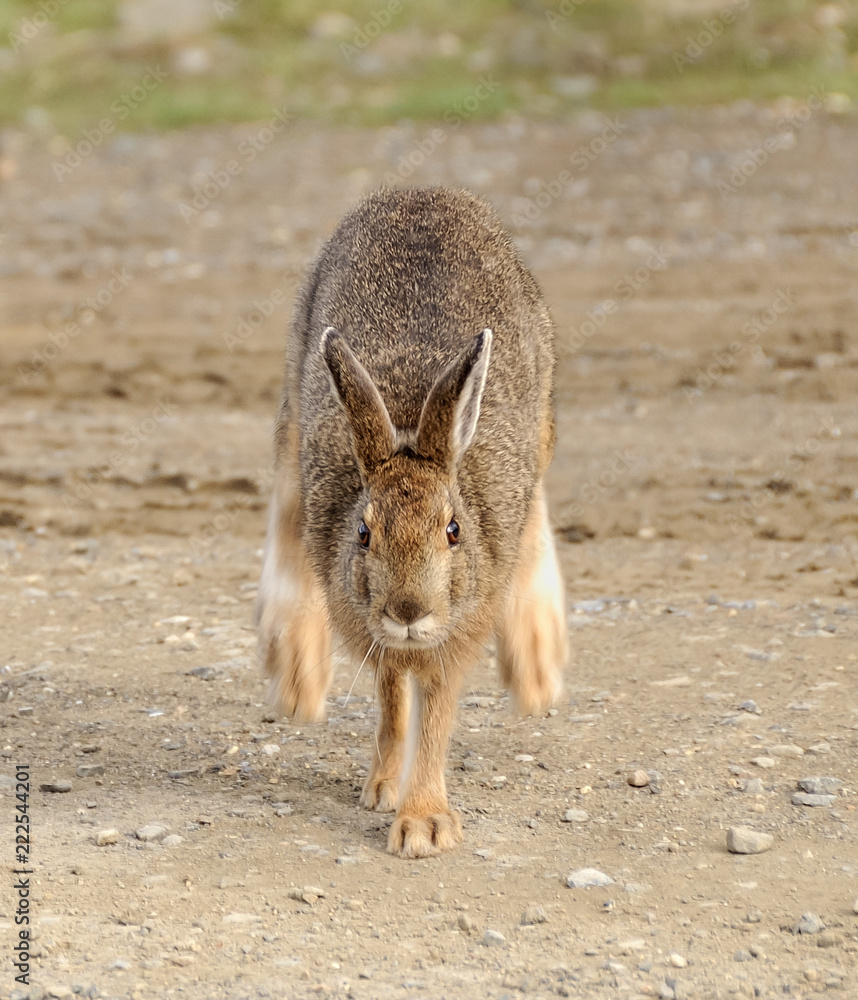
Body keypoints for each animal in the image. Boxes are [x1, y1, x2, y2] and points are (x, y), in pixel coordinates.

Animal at [255, 186, 567, 858]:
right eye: (364, 533)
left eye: (453, 530)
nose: (407, 610)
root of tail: (422, 193)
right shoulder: (369, 627)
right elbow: (393, 696)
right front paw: (384, 788)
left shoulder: (457, 629)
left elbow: (435, 714)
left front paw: (424, 824)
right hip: (296, 384)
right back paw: (295, 670)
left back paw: (536, 663)